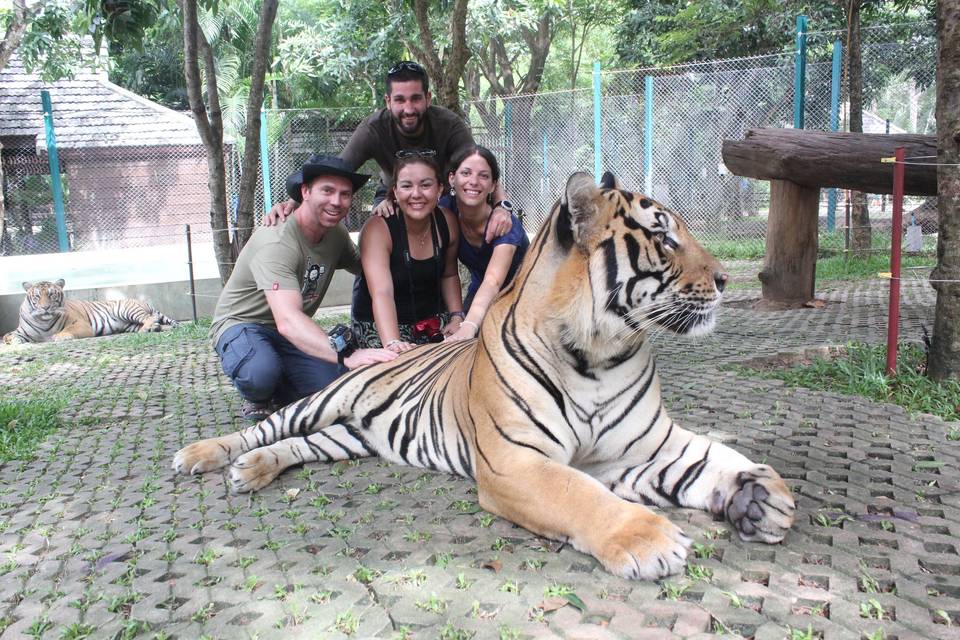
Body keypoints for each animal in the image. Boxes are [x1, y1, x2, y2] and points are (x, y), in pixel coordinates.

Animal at [174, 171, 796, 580]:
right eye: (665, 237)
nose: (724, 280)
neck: (600, 355)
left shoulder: (642, 445)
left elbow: (712, 456)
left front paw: (762, 495)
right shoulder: (515, 462)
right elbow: (579, 494)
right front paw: (648, 537)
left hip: (350, 436)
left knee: (299, 445)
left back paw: (255, 470)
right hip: (323, 399)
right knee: (264, 427)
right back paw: (204, 455)